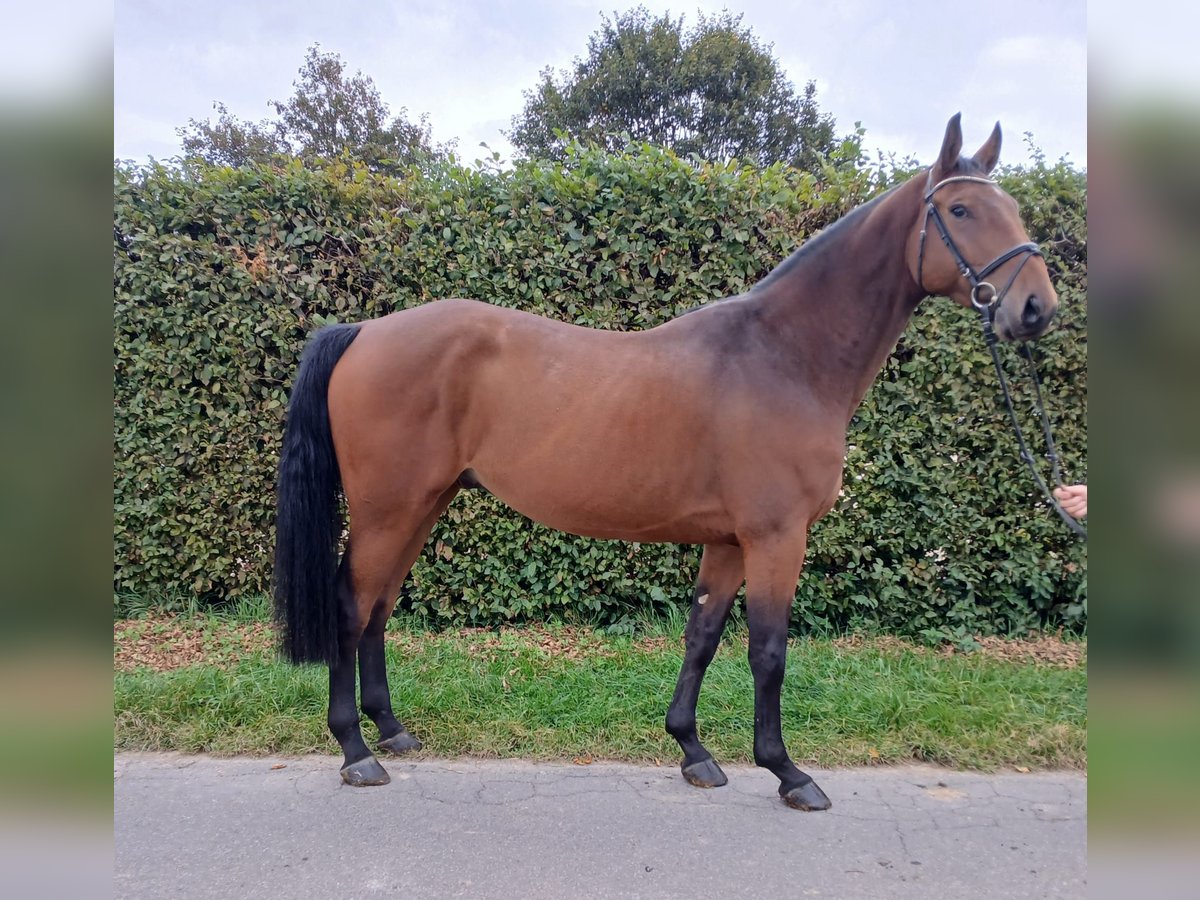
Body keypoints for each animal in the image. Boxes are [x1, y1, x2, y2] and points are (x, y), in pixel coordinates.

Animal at [274, 112, 1060, 811]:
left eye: (1014, 208)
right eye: (960, 208)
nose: (1036, 309)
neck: (782, 356)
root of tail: (365, 330)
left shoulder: (730, 540)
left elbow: (703, 635)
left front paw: (693, 750)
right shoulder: (777, 537)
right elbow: (768, 651)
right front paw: (787, 772)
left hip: (423, 503)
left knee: (378, 605)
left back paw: (391, 730)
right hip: (390, 506)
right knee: (352, 604)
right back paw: (355, 751)